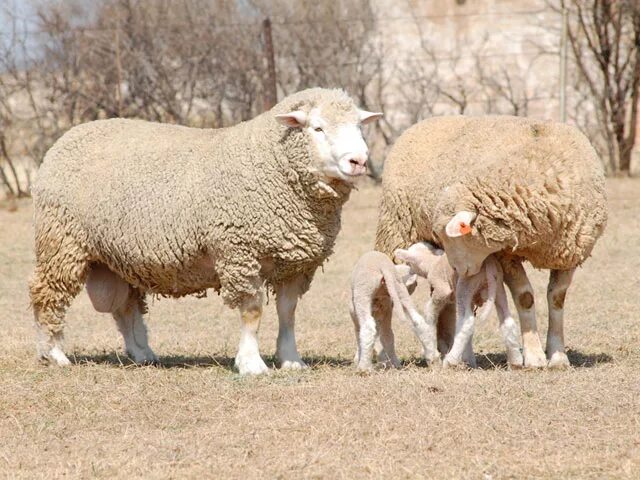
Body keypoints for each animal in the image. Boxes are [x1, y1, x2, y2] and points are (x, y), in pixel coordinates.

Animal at [28, 87, 380, 376]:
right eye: (317, 128)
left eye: (359, 127)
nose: (359, 161)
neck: (269, 163)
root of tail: (68, 137)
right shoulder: (239, 253)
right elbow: (252, 311)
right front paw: (251, 364)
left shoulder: (295, 263)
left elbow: (288, 312)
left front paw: (291, 359)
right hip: (62, 242)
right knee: (46, 293)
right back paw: (55, 354)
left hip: (119, 256)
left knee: (126, 307)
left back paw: (142, 353)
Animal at [396, 242, 524, 370]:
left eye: (409, 263)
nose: (408, 272)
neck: (432, 262)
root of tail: (489, 265)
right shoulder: (471, 301)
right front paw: (469, 359)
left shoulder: (442, 289)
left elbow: (430, 309)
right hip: (498, 286)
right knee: (507, 320)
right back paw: (515, 362)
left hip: (465, 284)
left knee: (467, 323)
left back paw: (450, 360)